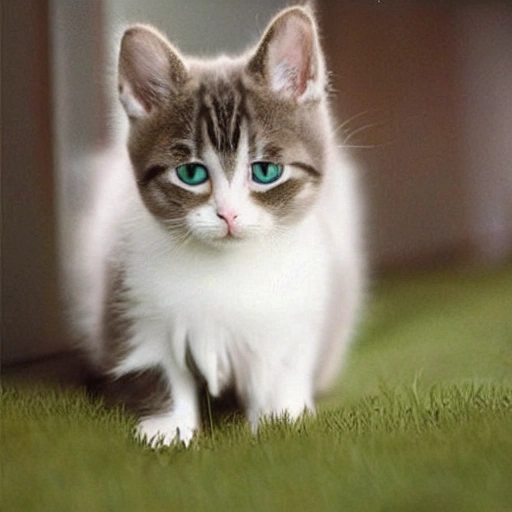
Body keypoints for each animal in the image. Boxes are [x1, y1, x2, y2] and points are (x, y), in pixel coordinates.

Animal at [71, 4, 364, 446]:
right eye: (191, 173)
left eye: (266, 171)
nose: (228, 214)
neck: (226, 268)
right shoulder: (132, 299)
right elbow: (155, 362)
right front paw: (167, 426)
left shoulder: (294, 310)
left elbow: (279, 365)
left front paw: (280, 420)